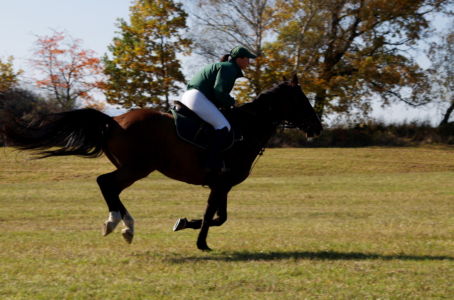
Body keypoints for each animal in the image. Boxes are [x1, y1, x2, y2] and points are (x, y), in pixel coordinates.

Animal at [0, 75, 322, 251]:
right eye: (302, 101)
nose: (317, 128)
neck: (246, 129)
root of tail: (114, 120)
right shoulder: (219, 185)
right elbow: (212, 216)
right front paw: (200, 242)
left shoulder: (222, 186)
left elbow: (219, 217)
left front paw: (185, 224)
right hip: (137, 168)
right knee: (106, 183)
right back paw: (116, 223)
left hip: (133, 168)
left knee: (111, 188)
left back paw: (126, 226)